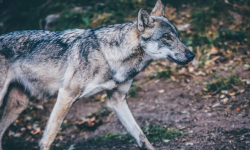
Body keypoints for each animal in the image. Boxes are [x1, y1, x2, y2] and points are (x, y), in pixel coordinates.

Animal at [0, 0, 195, 149]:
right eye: (167, 37)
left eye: (177, 36)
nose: (191, 55)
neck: (109, 56)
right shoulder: (66, 95)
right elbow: (49, 137)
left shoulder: (117, 100)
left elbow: (141, 136)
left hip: (19, 105)